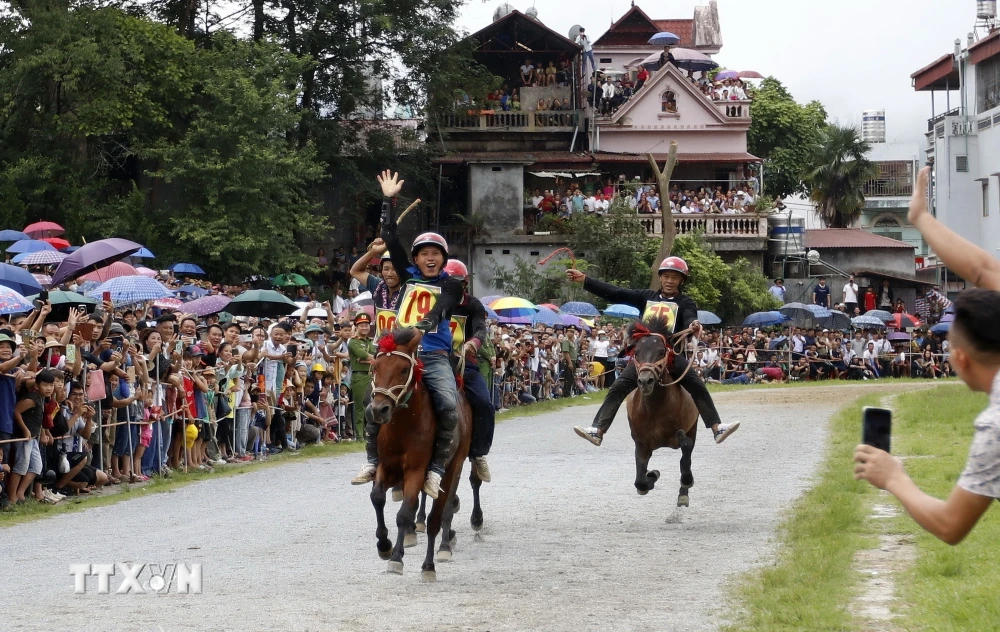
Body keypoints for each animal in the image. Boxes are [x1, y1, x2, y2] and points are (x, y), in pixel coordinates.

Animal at [368, 328, 472, 580]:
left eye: (404, 369)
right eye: (375, 367)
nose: (379, 410)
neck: (403, 424)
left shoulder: (415, 470)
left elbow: (405, 513)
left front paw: (396, 558)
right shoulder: (386, 466)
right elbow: (377, 497)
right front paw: (384, 545)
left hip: (453, 465)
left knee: (439, 516)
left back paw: (430, 563)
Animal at [620, 318, 700, 506]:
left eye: (662, 351)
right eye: (636, 352)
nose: (645, 381)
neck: (655, 409)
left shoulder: (681, 434)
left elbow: (686, 448)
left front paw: (687, 480)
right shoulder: (641, 443)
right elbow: (640, 482)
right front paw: (652, 474)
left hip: (693, 428)